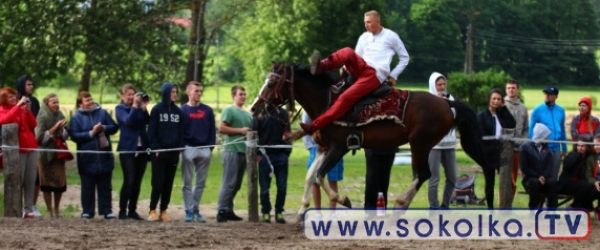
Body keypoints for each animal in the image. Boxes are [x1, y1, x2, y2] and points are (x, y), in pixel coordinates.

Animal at [251, 63, 494, 221]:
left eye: (272, 82)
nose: (254, 107)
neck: (328, 101)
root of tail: (447, 104)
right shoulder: (322, 148)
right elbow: (311, 176)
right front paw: (302, 211)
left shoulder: (338, 148)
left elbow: (320, 176)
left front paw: (345, 200)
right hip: (421, 146)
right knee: (422, 174)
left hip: (419, 144)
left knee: (423, 174)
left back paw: (399, 204)